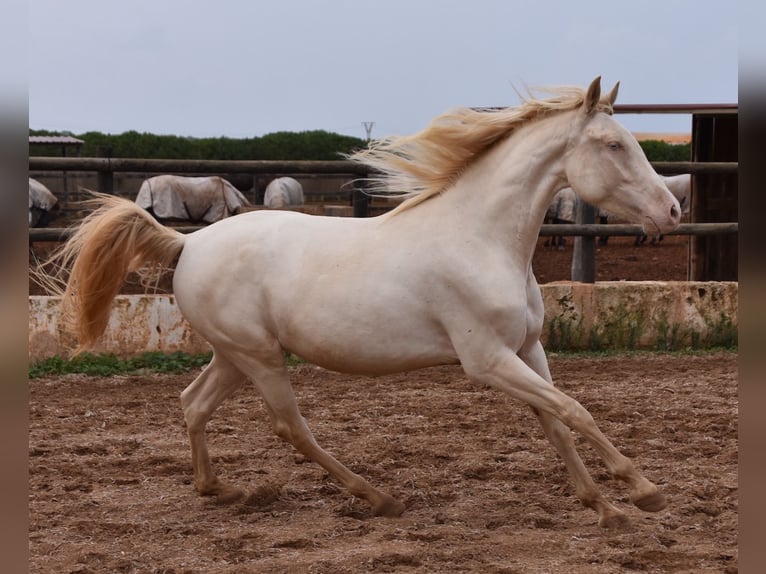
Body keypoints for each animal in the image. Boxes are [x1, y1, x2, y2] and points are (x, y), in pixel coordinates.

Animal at [43, 76, 680, 532]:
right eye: (613, 144)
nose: (671, 212)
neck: (480, 238)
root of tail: (189, 242)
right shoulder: (487, 361)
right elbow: (576, 410)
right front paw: (643, 492)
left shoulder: (527, 350)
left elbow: (556, 421)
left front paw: (604, 507)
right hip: (259, 358)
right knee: (289, 425)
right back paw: (378, 497)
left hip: (235, 355)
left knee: (193, 403)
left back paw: (219, 488)